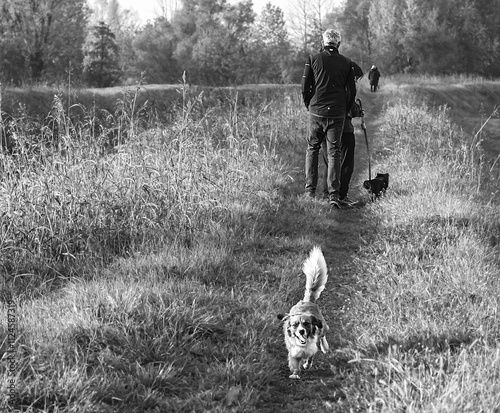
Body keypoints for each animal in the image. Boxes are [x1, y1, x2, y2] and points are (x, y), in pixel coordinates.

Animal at [278, 246, 328, 378]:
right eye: (295, 325)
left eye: (306, 323)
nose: (301, 331)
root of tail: (306, 301)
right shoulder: (293, 351)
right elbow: (295, 363)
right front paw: (295, 374)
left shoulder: (311, 348)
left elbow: (310, 357)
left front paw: (306, 365)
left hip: (324, 327)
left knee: (323, 335)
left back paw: (325, 347)